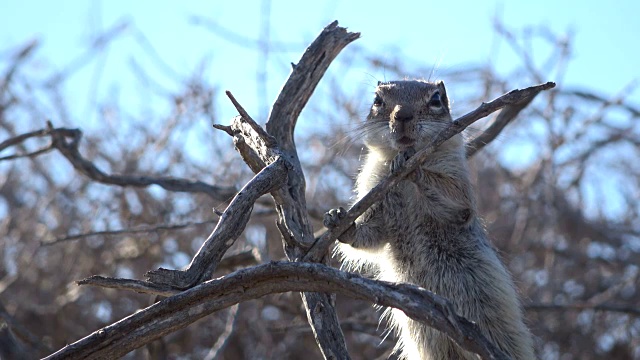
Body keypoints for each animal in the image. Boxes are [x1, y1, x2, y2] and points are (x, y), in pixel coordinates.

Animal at [324, 80, 536, 358]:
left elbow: (452, 198)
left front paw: (414, 167)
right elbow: (372, 234)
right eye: (377, 101)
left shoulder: (458, 186)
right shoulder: (376, 191)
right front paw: (339, 221)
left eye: (436, 100)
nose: (402, 115)